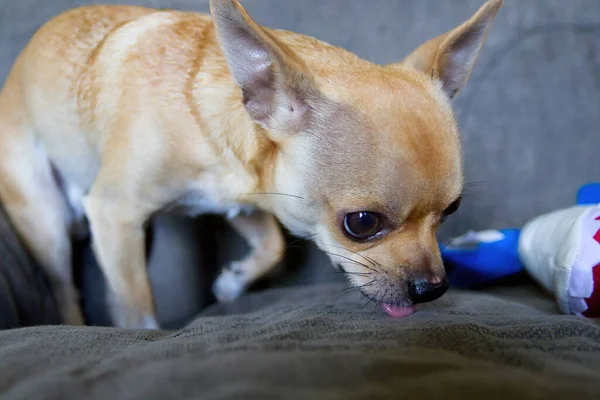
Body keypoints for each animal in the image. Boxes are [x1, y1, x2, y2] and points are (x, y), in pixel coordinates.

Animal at [0, 0, 502, 326]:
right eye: (361, 224)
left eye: (451, 212)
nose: (432, 288)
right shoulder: (114, 213)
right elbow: (138, 303)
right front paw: (143, 333)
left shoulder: (241, 202)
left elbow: (272, 247)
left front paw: (232, 282)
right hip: (46, 221)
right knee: (65, 289)